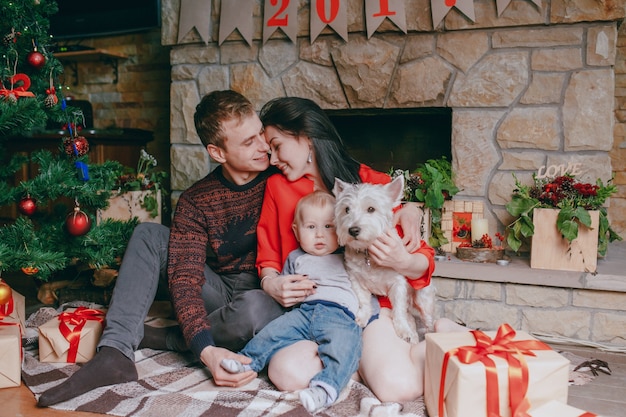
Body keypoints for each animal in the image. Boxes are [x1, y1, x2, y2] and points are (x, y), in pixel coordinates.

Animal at [334, 176, 432, 342]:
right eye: (346, 209)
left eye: (371, 209)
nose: (353, 230)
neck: (367, 253)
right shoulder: (356, 279)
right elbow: (363, 300)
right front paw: (362, 316)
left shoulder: (398, 283)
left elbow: (398, 309)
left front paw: (404, 330)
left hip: (423, 299)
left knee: (429, 319)